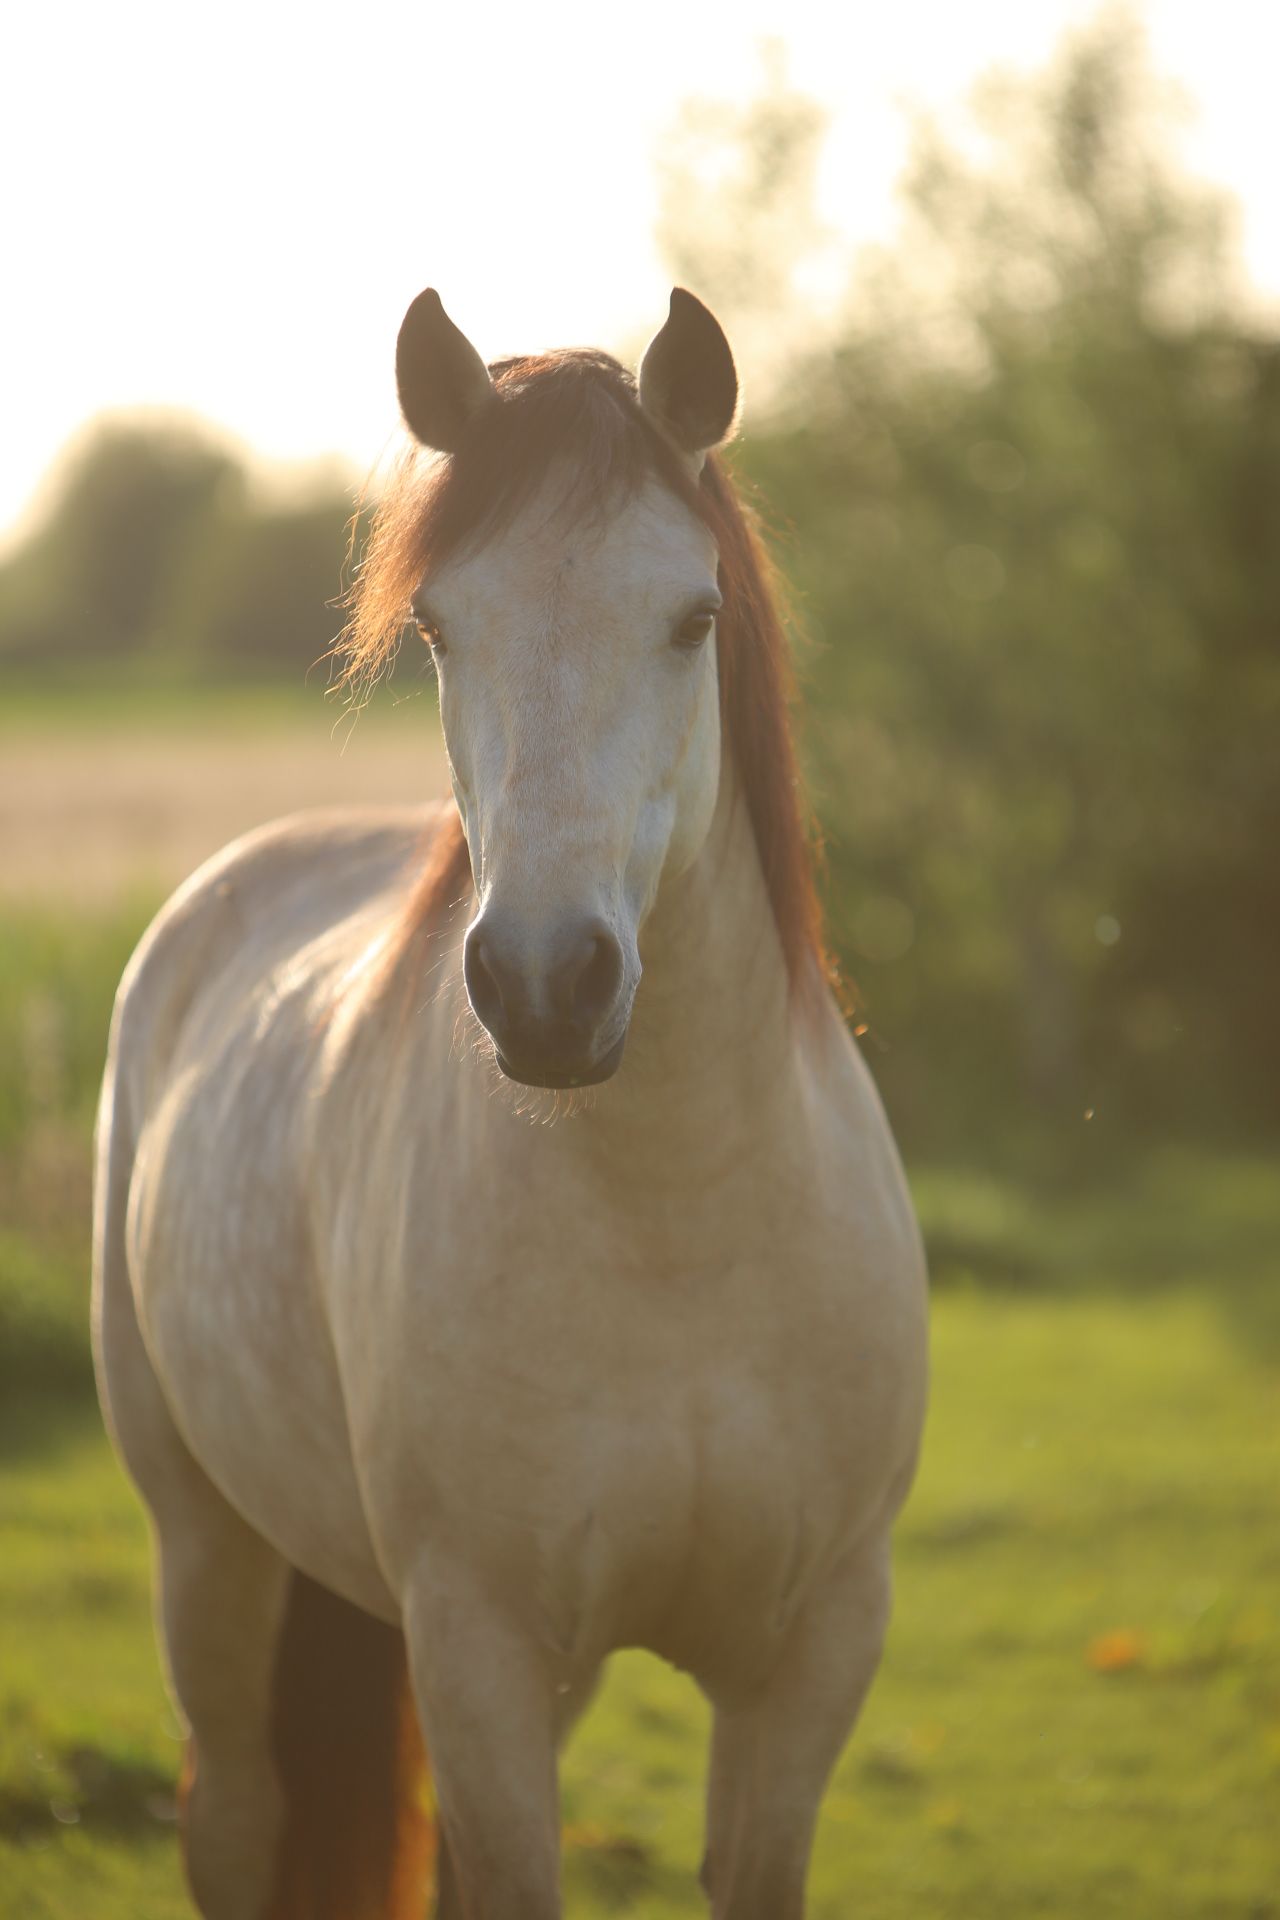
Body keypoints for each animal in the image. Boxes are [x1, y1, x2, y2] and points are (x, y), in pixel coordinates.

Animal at [92, 285, 928, 1920]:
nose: (547, 984)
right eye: (436, 626)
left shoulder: (810, 1654)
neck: (679, 1226)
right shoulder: (475, 1645)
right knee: (236, 1818)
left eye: (693, 618)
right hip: (205, 1546)